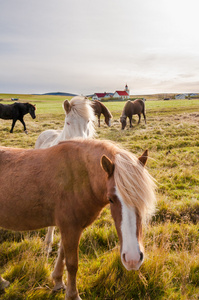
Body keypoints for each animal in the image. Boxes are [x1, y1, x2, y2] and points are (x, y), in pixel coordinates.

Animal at [0, 139, 155, 300]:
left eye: (142, 199)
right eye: (111, 199)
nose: (133, 259)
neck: (81, 178)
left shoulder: (68, 228)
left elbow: (62, 254)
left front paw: (58, 281)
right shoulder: (70, 228)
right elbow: (72, 263)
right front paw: (73, 295)